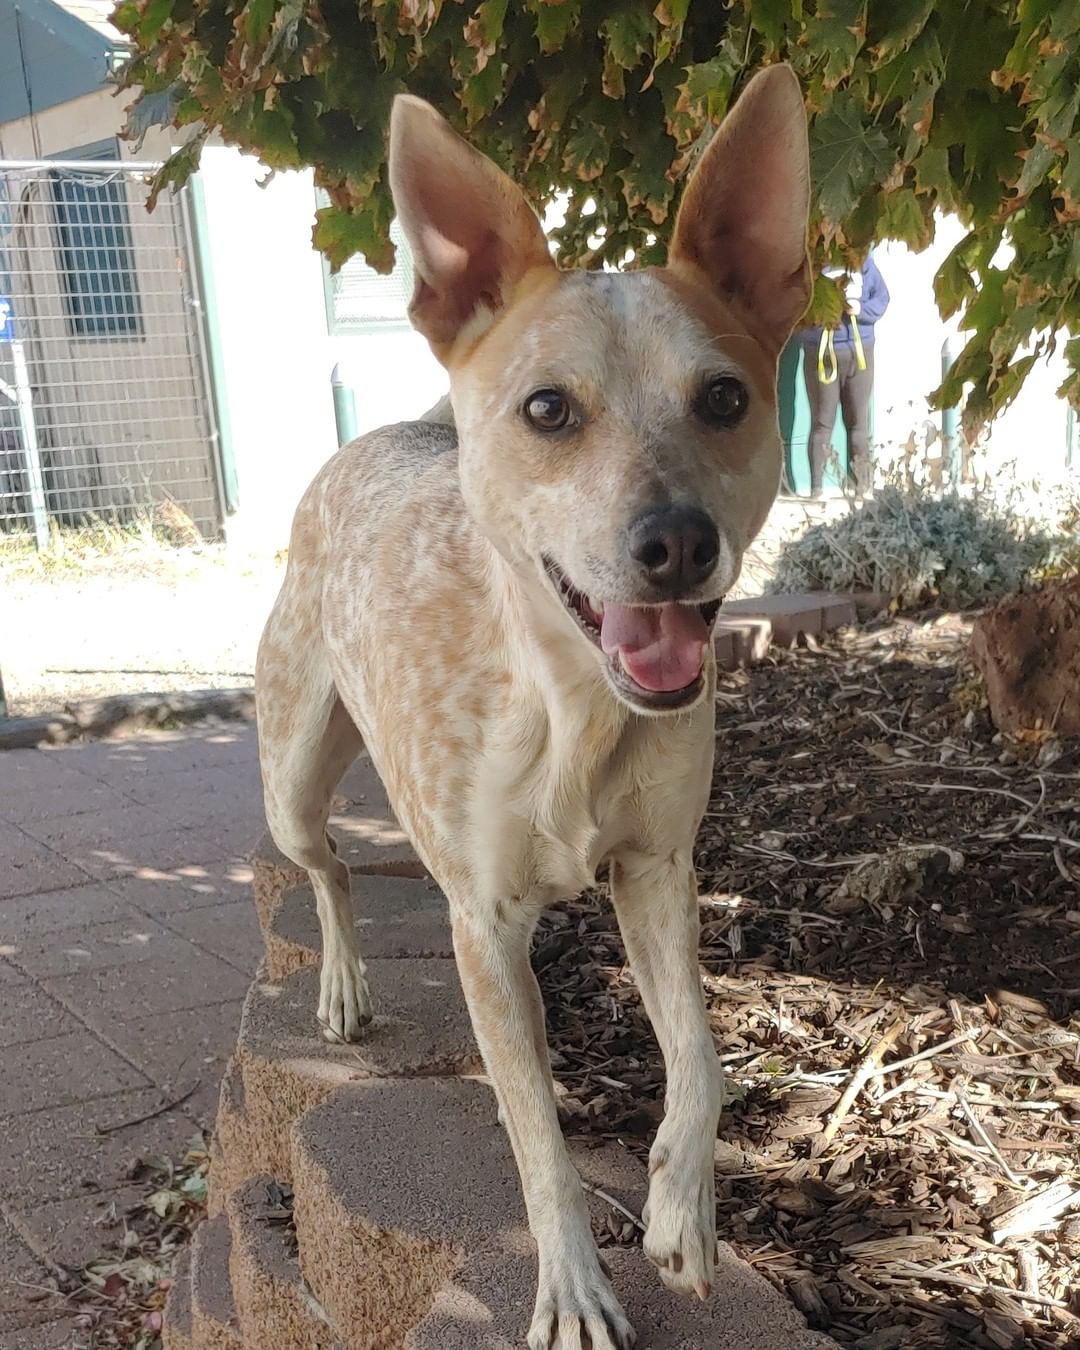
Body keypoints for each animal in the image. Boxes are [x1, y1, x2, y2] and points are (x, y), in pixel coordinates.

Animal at [255, 68, 810, 1350]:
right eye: (549, 410)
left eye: (725, 396)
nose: (676, 544)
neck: (571, 716)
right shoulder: (486, 926)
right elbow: (538, 1139)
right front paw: (571, 1290)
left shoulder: (657, 871)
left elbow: (702, 1058)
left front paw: (681, 1216)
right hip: (292, 774)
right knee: (330, 866)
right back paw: (344, 988)